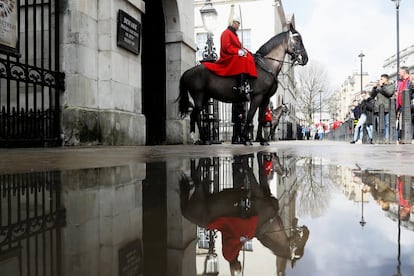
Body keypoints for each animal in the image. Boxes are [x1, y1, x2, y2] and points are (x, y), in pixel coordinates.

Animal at [178, 23, 308, 147]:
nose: (305, 58)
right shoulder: (257, 96)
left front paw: (261, 140)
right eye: (297, 39)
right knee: (196, 115)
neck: (267, 66)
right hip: (199, 96)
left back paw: (198, 139)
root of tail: (188, 71)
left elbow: (260, 118)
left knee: (193, 115)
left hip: (205, 97)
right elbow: (250, 115)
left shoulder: (265, 98)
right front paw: (246, 138)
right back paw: (203, 139)